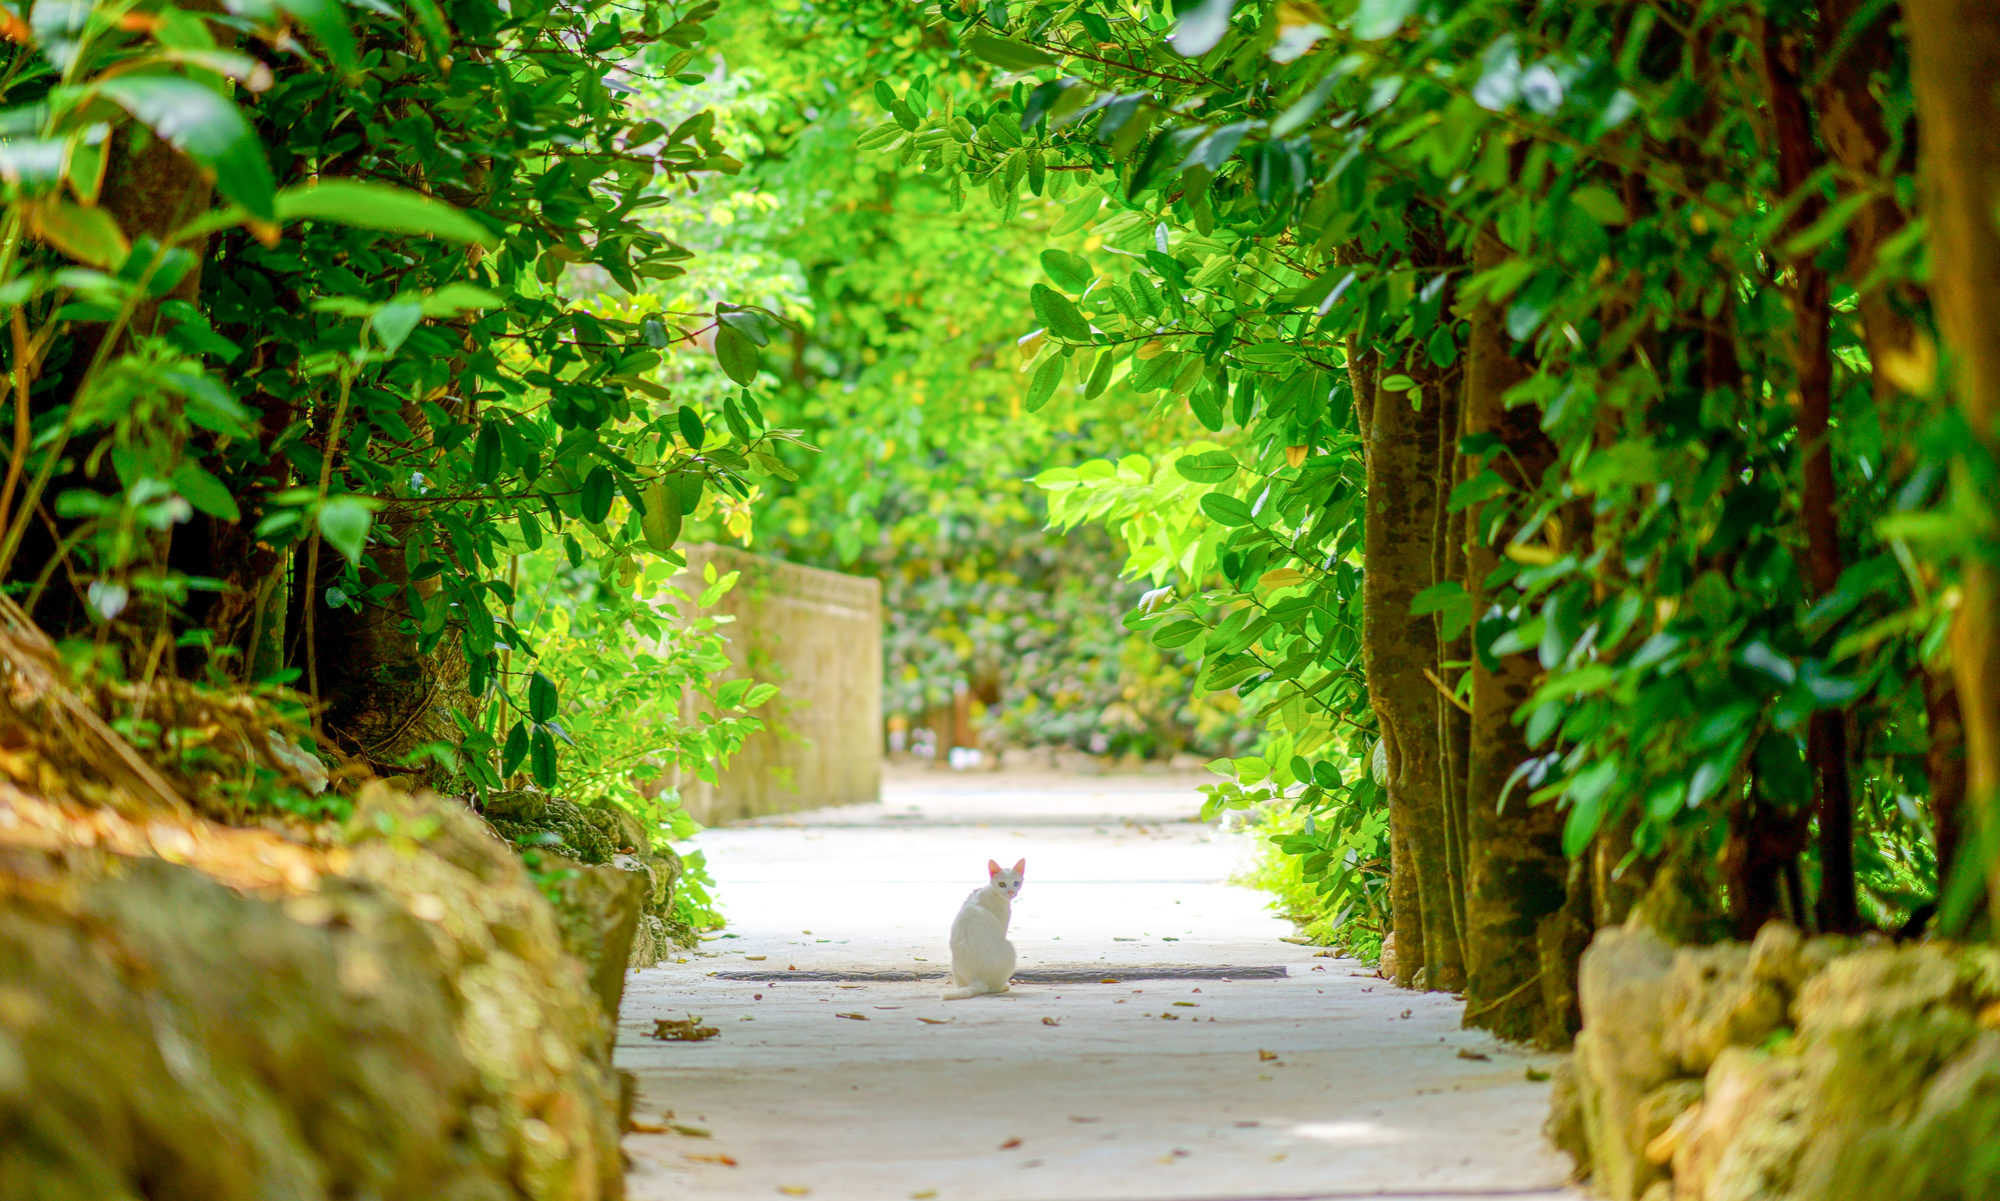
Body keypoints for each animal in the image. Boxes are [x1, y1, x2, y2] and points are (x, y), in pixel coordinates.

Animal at [944, 856, 1024, 1000]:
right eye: (1002, 884)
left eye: (1016, 883)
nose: (1011, 892)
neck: (990, 891)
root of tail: (977, 978)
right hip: (1010, 949)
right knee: (994, 988)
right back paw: (1004, 986)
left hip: (953, 966)